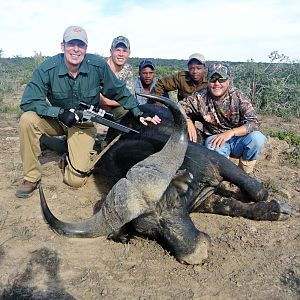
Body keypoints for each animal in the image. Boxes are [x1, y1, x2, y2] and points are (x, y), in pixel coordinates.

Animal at [39, 94, 290, 264]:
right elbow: (234, 206)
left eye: (176, 203)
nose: (197, 254)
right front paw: (274, 210)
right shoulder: (205, 200)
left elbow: (256, 190)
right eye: (148, 231)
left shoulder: (217, 162)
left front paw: (279, 207)